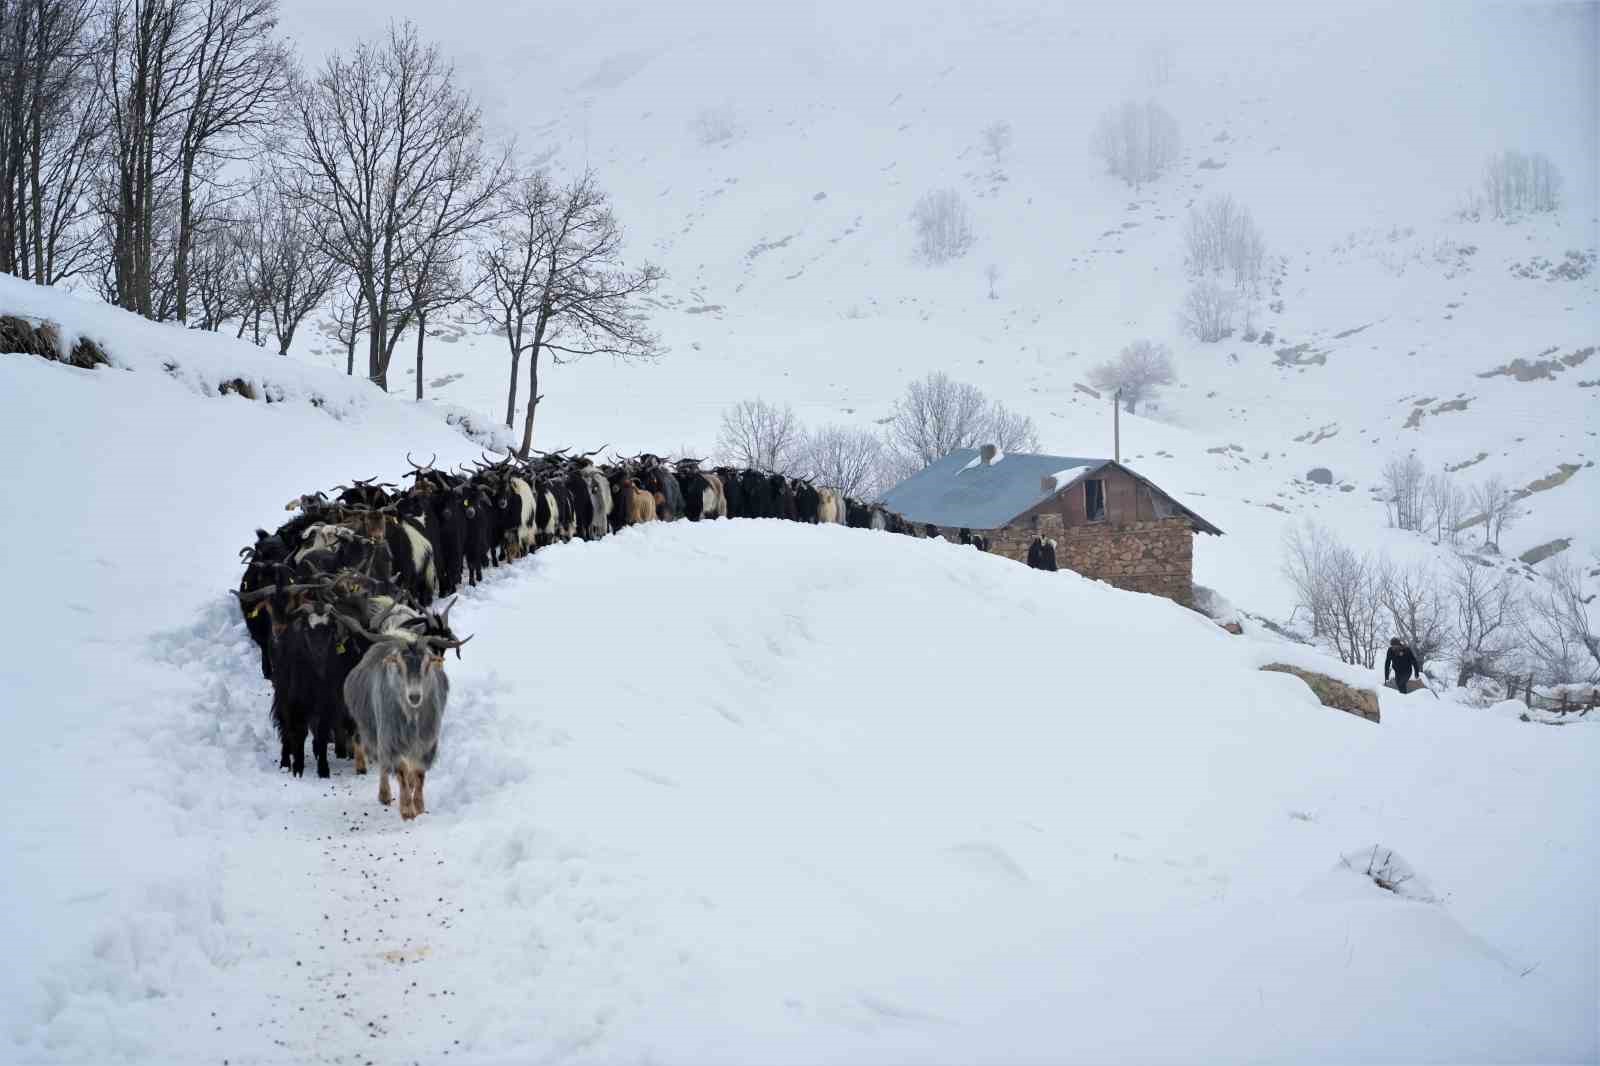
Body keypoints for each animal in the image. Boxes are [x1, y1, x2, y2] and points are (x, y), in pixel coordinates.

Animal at [334, 601, 467, 816]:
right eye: (399, 664)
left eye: (427, 662)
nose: (414, 696)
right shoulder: (390, 737)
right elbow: (401, 770)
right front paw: (407, 810)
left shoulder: (427, 741)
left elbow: (419, 773)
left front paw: (419, 806)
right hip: (372, 728)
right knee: (379, 758)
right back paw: (383, 793)